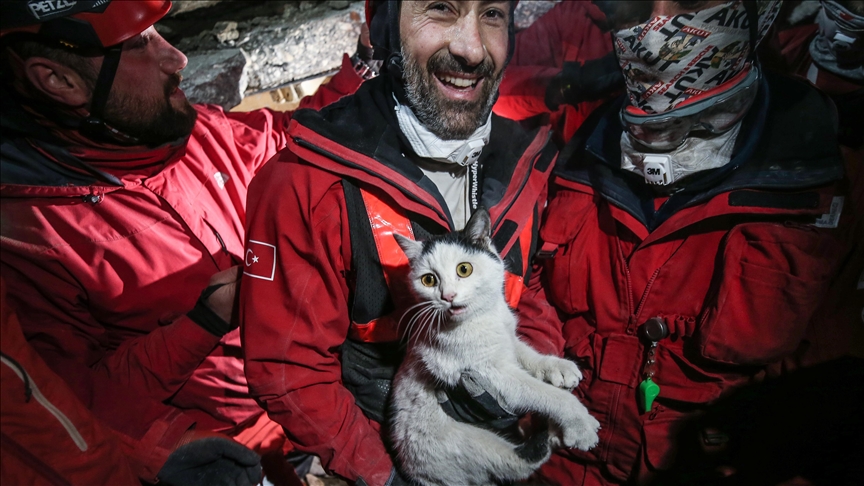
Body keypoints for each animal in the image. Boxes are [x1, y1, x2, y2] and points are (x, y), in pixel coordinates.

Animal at [388, 208, 596, 486]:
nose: (448, 296)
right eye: (429, 280)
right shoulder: (490, 373)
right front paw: (580, 422)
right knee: (521, 461)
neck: (483, 316)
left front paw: (558, 367)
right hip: (467, 444)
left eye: (464, 269)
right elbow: (544, 394)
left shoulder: (507, 339)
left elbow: (528, 355)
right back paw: (551, 436)